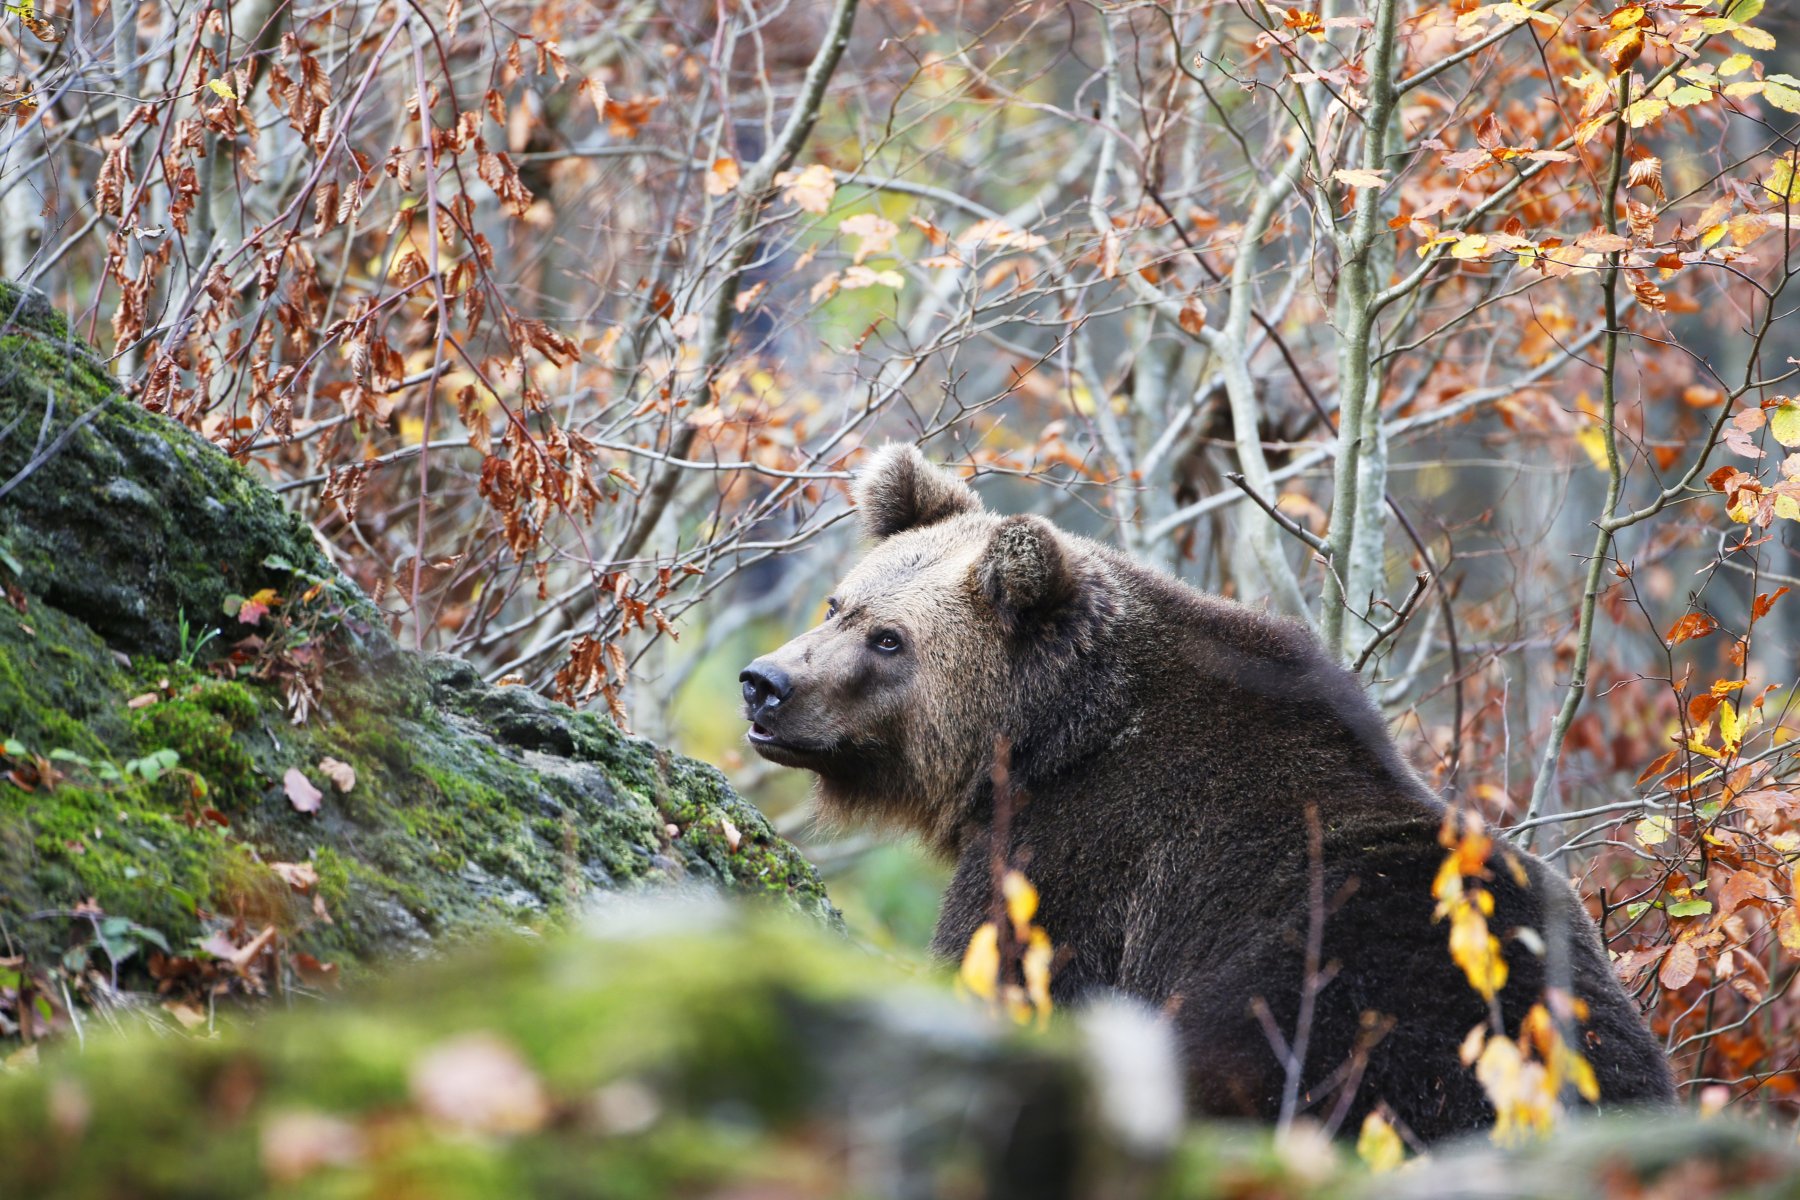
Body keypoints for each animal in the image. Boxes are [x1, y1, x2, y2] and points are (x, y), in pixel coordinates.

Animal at [734, 446, 1670, 1144]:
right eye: (838, 603)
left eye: (890, 640)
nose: (764, 683)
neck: (1045, 741)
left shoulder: (1077, 867)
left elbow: (1002, 971)